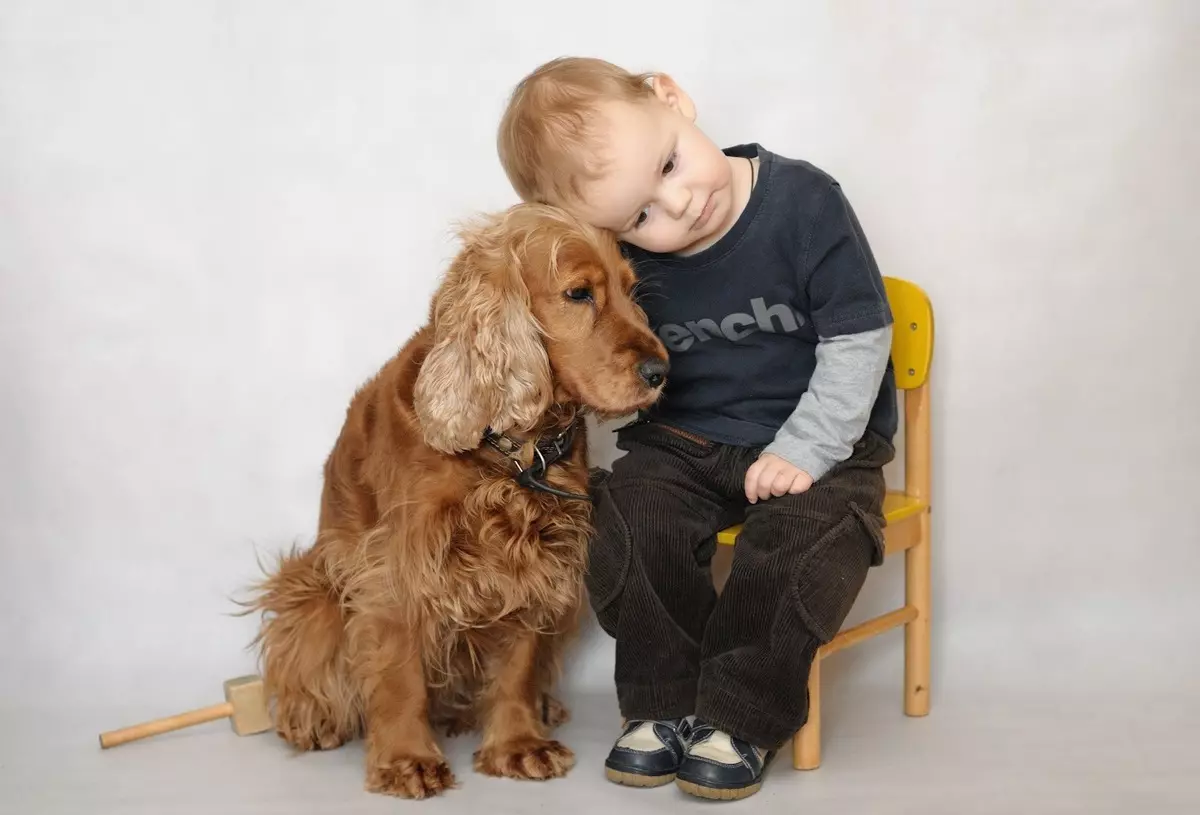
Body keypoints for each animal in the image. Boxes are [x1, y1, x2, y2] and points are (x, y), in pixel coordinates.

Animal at [246, 202, 667, 796]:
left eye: (633, 291)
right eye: (580, 293)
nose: (661, 372)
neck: (507, 450)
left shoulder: (538, 556)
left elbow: (518, 664)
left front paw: (518, 744)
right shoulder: (398, 564)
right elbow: (399, 673)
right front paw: (406, 759)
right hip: (318, 593)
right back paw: (314, 721)